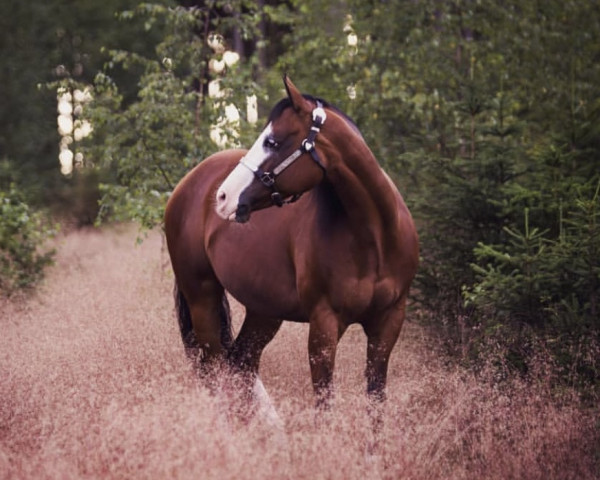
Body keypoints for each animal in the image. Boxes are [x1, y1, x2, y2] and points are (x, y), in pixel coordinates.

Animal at [164, 76, 418, 420]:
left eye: (272, 142)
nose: (223, 197)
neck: (375, 238)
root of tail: (188, 184)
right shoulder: (324, 326)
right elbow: (324, 407)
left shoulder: (388, 324)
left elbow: (376, 404)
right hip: (202, 299)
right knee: (217, 372)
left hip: (264, 310)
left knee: (241, 363)